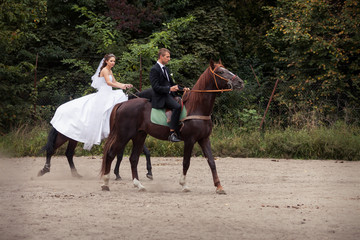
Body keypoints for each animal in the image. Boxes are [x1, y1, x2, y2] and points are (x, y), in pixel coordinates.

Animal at [100, 61, 243, 194]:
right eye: (220, 72)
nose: (240, 82)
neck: (196, 107)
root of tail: (122, 104)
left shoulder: (204, 139)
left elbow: (212, 162)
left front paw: (219, 187)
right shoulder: (190, 140)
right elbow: (186, 162)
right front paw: (184, 185)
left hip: (139, 136)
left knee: (133, 159)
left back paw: (139, 185)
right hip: (124, 135)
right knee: (111, 154)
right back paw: (106, 183)